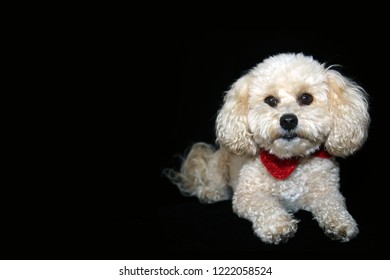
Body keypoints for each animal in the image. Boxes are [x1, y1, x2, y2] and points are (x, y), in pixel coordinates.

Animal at [166, 53, 370, 245]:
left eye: (306, 98)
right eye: (270, 100)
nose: (288, 120)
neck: (288, 162)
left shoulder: (327, 191)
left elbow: (333, 204)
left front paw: (341, 223)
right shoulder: (247, 194)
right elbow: (265, 205)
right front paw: (278, 226)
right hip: (219, 166)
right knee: (214, 182)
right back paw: (210, 193)